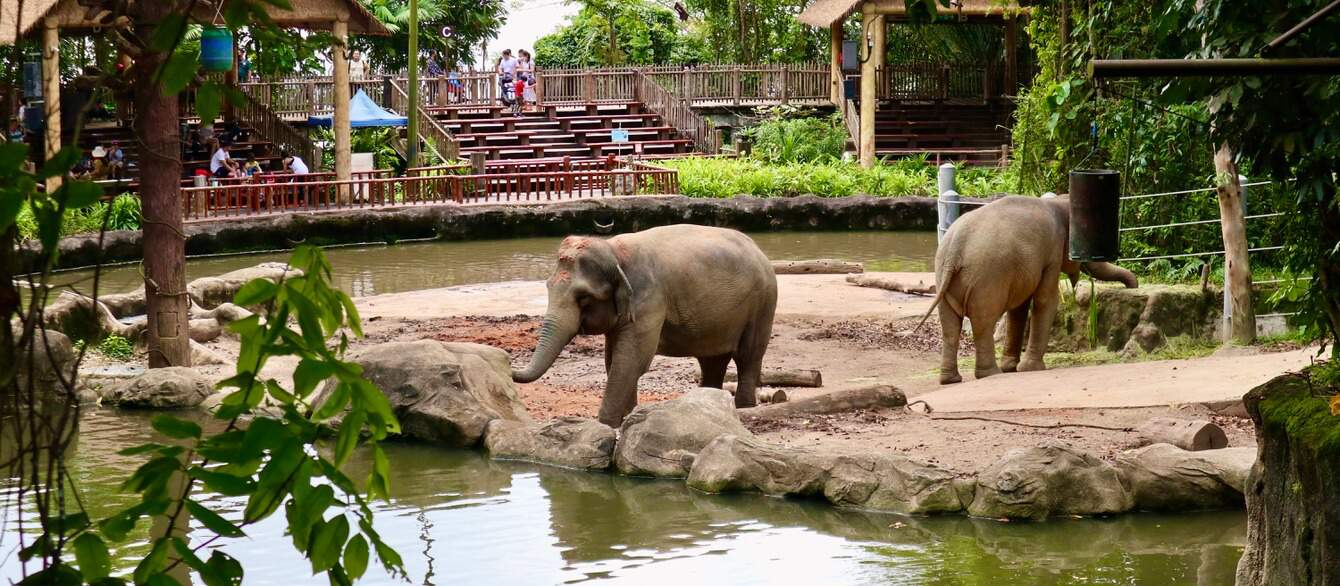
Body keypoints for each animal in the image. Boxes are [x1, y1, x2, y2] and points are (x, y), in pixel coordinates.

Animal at [514, 223, 782, 423]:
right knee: (712, 360)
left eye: (584, 297)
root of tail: (758, 249)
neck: (614, 250)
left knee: (748, 356)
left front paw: (606, 424)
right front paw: (628, 415)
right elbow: (614, 360)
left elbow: (632, 360)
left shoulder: (649, 300)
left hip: (763, 303)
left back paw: (744, 407)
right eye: (548, 286)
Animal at [927, 194, 1136, 380]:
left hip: (943, 277)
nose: (1132, 286)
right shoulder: (1052, 252)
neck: (1057, 202)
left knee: (950, 327)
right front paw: (1031, 368)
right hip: (985, 281)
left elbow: (1019, 308)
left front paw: (1011, 367)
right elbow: (1046, 300)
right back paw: (990, 374)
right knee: (983, 323)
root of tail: (954, 250)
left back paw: (951, 379)